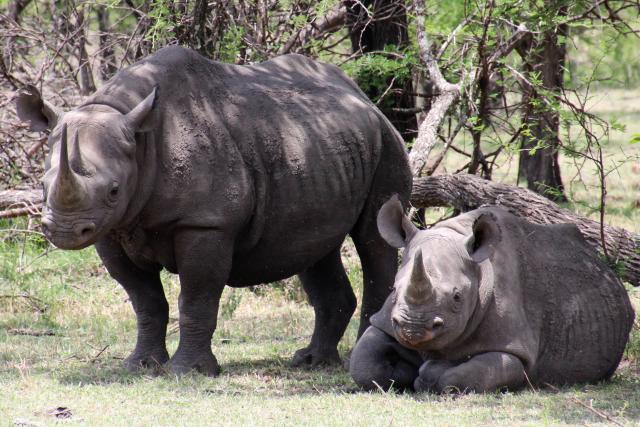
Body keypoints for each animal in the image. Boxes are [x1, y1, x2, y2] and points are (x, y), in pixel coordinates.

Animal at [15, 46, 412, 376]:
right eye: (42, 186)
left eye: (113, 190)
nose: (65, 231)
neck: (140, 141)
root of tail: (363, 96)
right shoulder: (111, 228)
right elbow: (145, 300)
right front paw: (139, 366)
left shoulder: (207, 223)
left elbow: (197, 297)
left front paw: (188, 372)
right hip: (319, 150)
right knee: (315, 246)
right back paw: (310, 361)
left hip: (388, 142)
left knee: (374, 239)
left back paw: (359, 358)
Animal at [349, 196, 634, 393]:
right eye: (394, 289)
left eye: (457, 297)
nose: (414, 330)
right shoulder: (386, 321)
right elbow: (363, 364)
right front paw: (407, 371)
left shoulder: (515, 349)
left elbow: (464, 375)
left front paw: (429, 373)